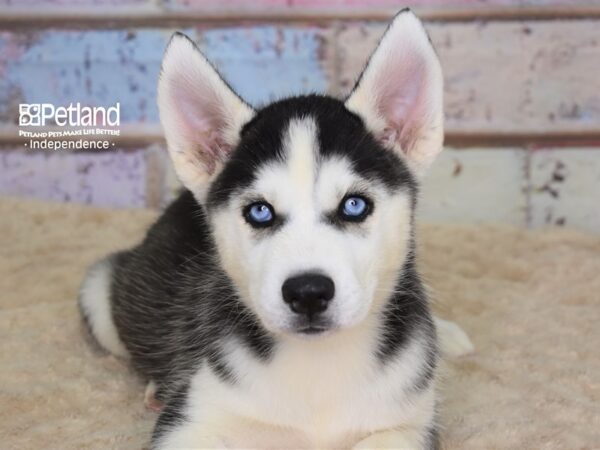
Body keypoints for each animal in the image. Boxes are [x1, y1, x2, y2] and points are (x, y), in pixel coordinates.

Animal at [79, 10, 474, 450]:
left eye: (354, 205)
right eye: (260, 212)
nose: (308, 292)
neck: (320, 365)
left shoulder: (409, 425)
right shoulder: (191, 421)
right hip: (102, 296)